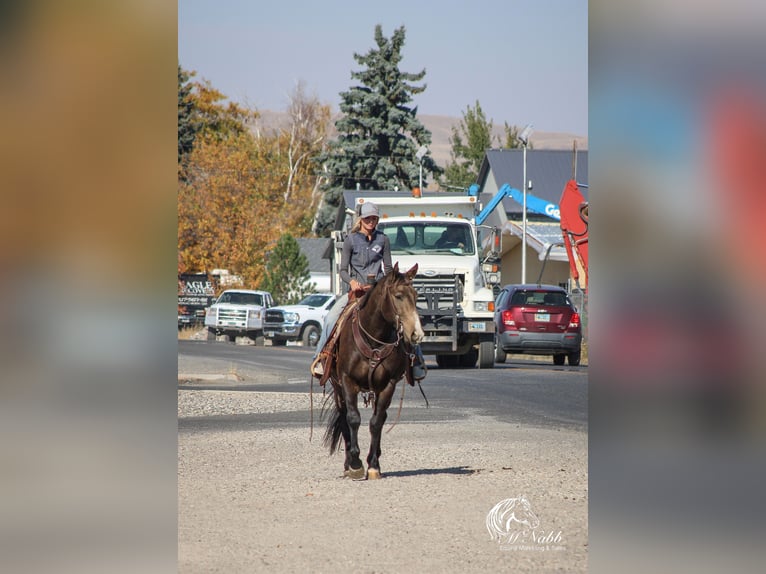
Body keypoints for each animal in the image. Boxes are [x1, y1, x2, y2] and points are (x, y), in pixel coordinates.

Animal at [320, 264, 424, 482]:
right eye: (398, 296)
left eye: (416, 295)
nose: (416, 334)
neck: (373, 339)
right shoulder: (347, 381)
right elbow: (353, 419)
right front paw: (355, 464)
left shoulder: (387, 385)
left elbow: (376, 422)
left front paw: (373, 465)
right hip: (337, 386)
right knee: (344, 417)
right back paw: (348, 464)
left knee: (381, 418)